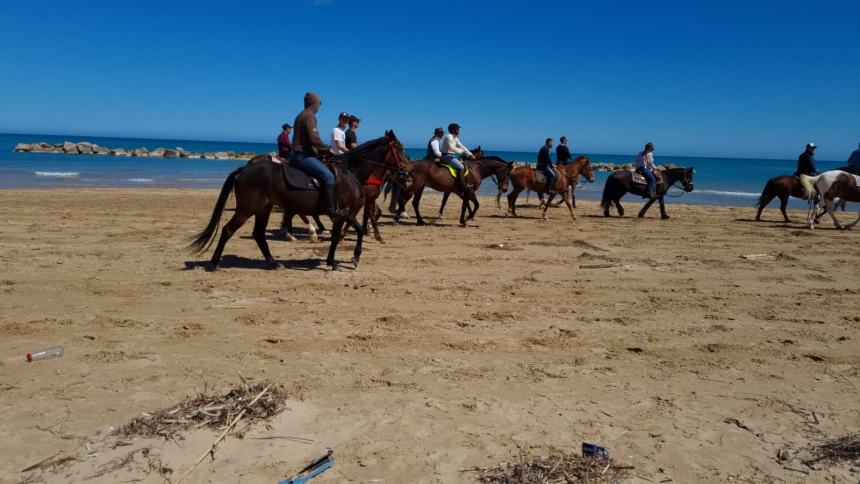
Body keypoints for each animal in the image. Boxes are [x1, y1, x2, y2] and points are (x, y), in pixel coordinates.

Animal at [190, 130, 412, 270]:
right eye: (400, 148)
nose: (409, 171)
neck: (350, 171)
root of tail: (244, 168)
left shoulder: (343, 213)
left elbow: (336, 236)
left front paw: (330, 261)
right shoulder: (346, 211)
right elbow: (357, 229)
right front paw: (355, 256)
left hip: (264, 209)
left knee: (259, 234)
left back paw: (273, 262)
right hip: (246, 209)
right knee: (228, 230)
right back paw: (214, 263)